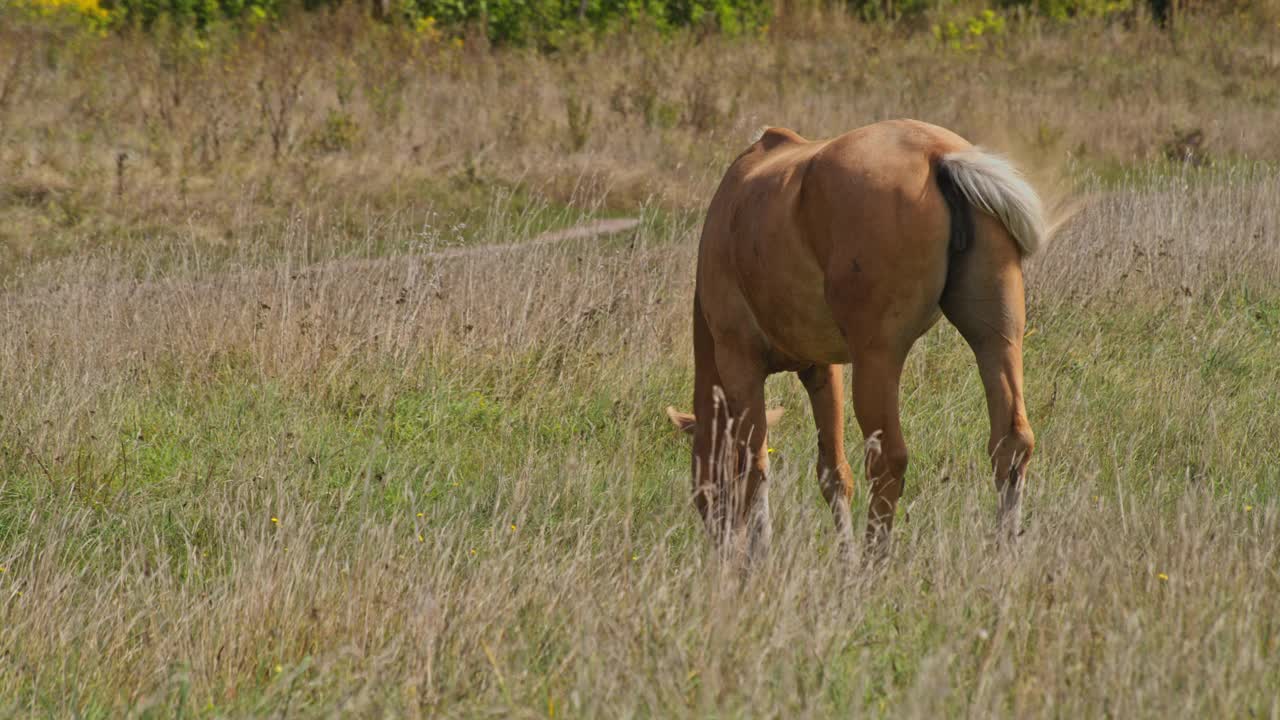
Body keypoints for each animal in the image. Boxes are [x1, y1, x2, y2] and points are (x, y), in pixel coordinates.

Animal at [665, 117, 1044, 558]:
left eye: (702, 489)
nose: (723, 550)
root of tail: (937, 154)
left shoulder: (740, 364)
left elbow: (755, 467)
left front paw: (762, 555)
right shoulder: (821, 370)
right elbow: (833, 472)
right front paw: (842, 555)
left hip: (876, 361)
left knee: (888, 460)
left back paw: (873, 560)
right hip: (997, 341)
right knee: (1011, 440)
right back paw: (1004, 549)